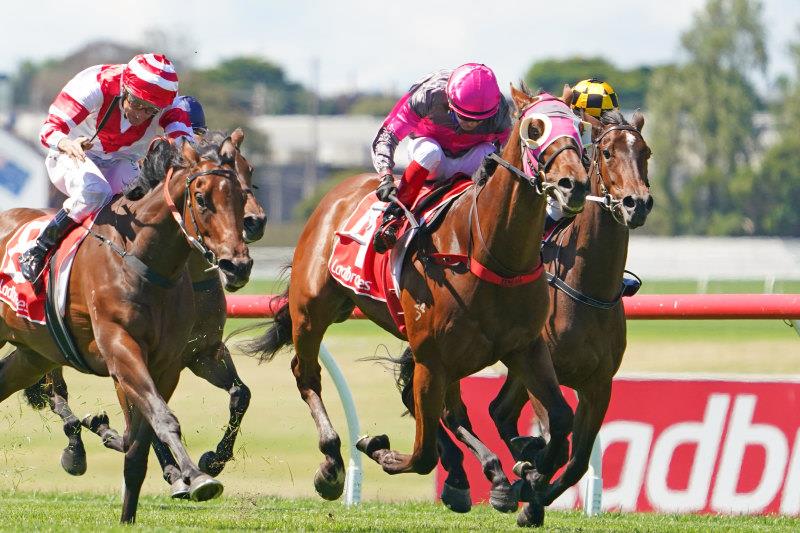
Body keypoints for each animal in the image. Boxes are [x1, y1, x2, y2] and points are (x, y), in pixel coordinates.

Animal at [0, 137, 252, 523]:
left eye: (242, 190)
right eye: (201, 198)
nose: (237, 265)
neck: (143, 260)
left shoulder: (178, 360)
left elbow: (144, 437)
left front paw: (134, 510)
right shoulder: (120, 349)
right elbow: (161, 417)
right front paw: (195, 476)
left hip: (33, 354)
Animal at [243, 84, 589, 525]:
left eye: (578, 126)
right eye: (534, 128)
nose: (573, 185)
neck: (490, 253)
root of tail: (336, 194)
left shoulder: (525, 347)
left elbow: (560, 420)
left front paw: (531, 479)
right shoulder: (431, 359)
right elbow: (422, 454)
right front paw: (377, 447)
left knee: (455, 413)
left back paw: (488, 477)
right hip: (311, 311)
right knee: (307, 375)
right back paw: (332, 464)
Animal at [397, 107, 653, 525]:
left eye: (645, 152)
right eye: (608, 153)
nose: (637, 204)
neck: (588, 288)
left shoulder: (598, 383)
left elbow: (577, 460)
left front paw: (533, 490)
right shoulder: (538, 368)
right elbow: (555, 439)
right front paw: (528, 480)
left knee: (488, 411)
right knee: (449, 406)